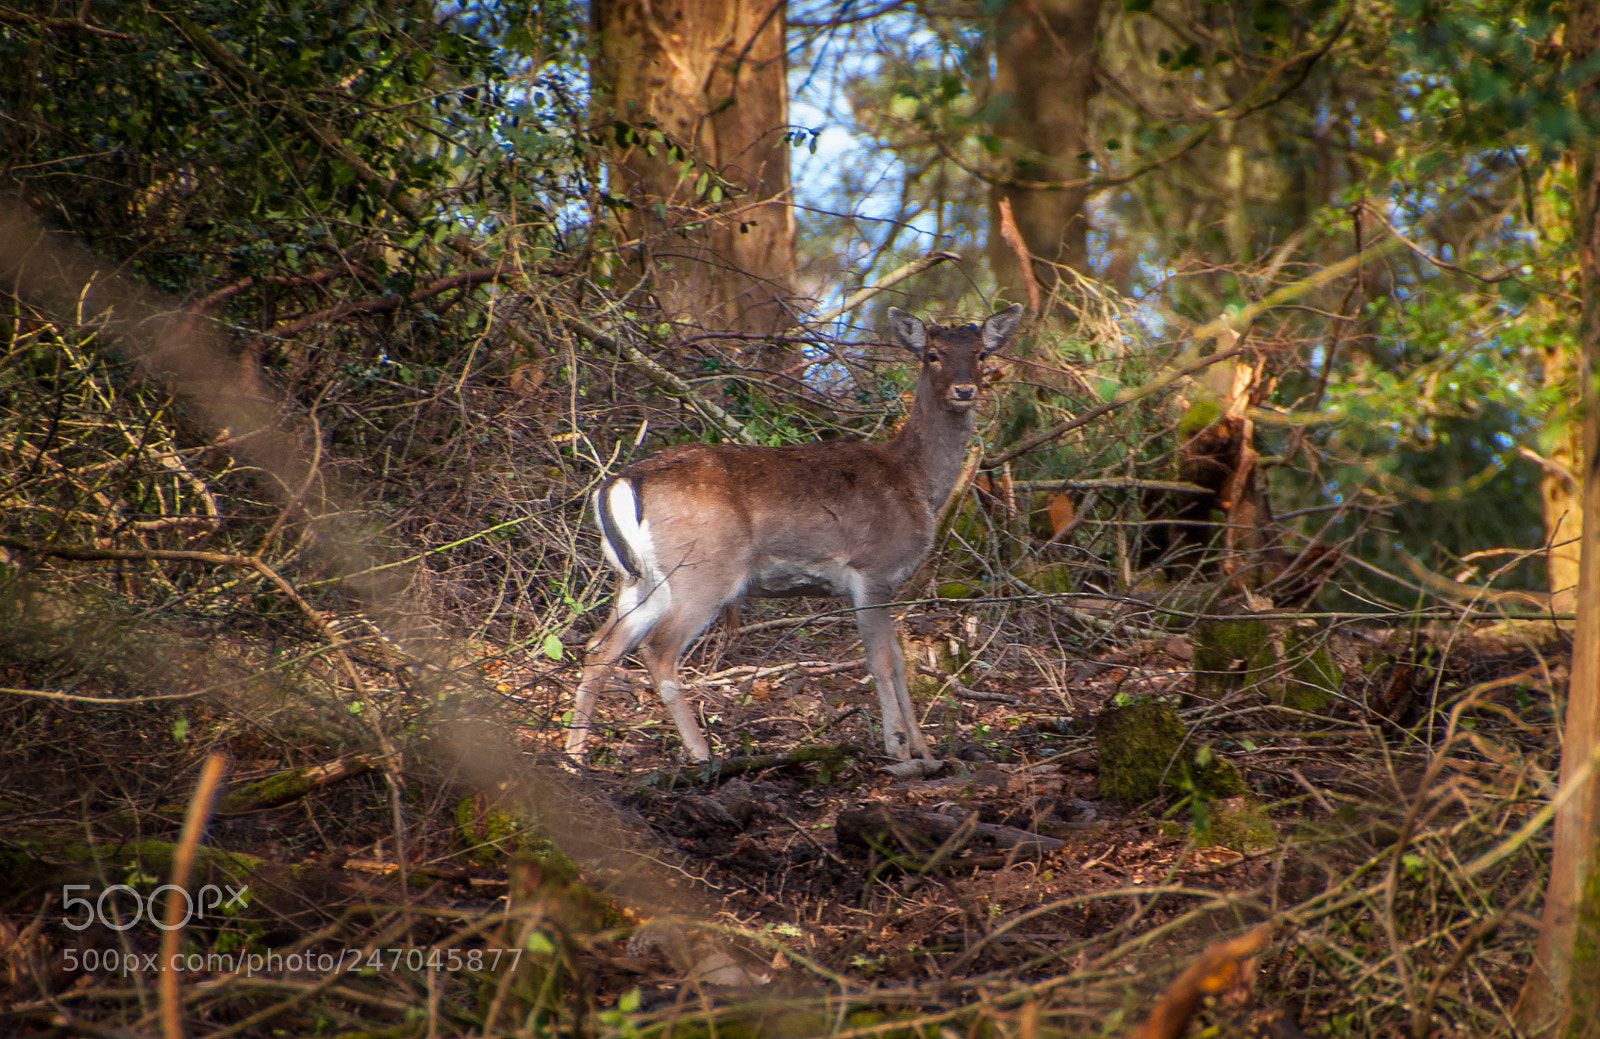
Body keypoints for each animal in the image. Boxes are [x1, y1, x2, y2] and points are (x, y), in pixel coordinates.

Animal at [565, 303, 1024, 767]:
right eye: (932, 354)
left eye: (982, 353)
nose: (964, 390)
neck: (916, 482)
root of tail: (618, 483)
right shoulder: (871, 568)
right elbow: (881, 661)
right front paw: (898, 750)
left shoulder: (889, 583)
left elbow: (898, 660)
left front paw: (925, 753)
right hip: (703, 568)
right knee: (658, 650)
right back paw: (703, 755)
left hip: (639, 578)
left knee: (600, 645)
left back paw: (574, 753)